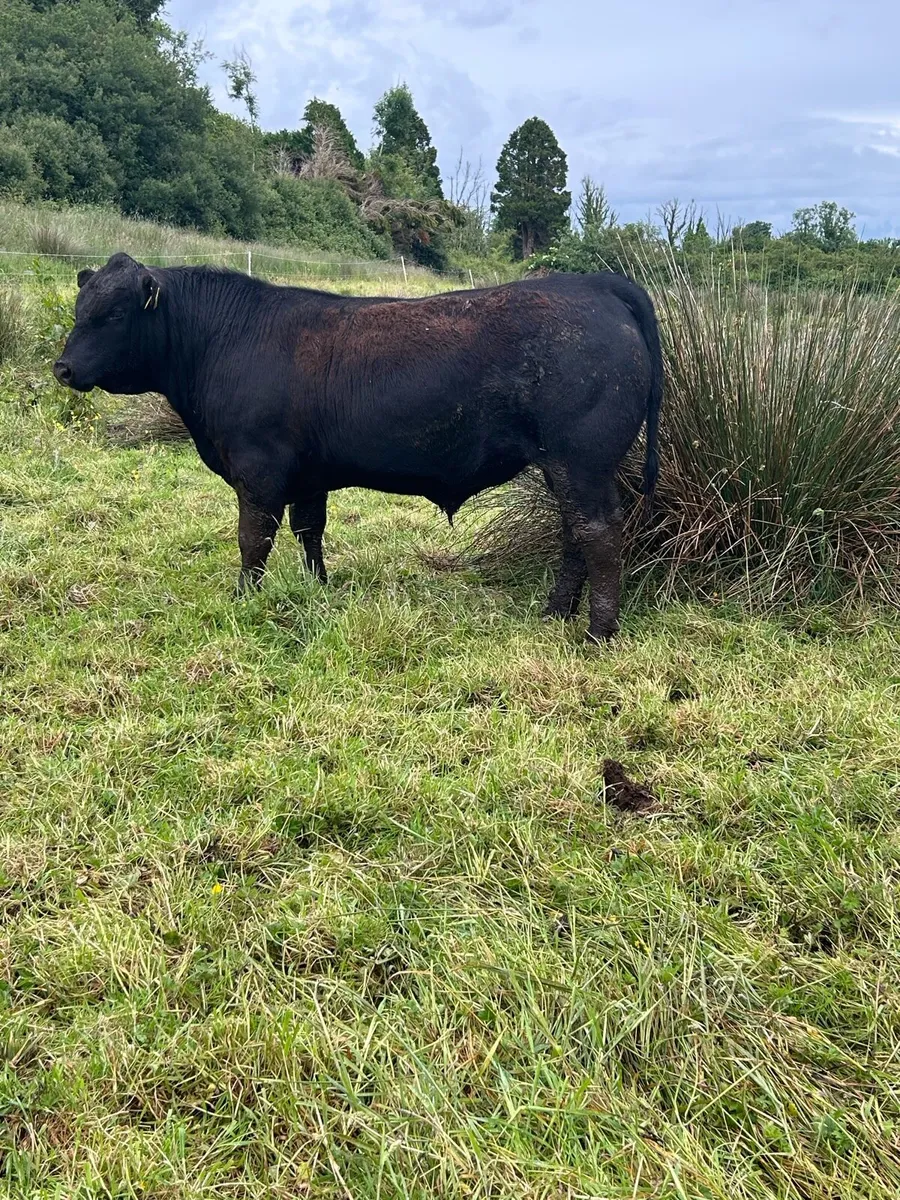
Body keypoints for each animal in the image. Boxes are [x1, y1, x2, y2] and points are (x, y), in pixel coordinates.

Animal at [54, 254, 662, 641]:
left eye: (113, 314)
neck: (224, 340)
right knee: (573, 534)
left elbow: (254, 540)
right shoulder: (308, 475)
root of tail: (594, 285)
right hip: (564, 468)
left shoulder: (258, 470)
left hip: (582, 461)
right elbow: (309, 531)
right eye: (80, 309)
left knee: (597, 532)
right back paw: (555, 614)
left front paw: (244, 600)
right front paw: (317, 588)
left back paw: (597, 632)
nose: (62, 367)